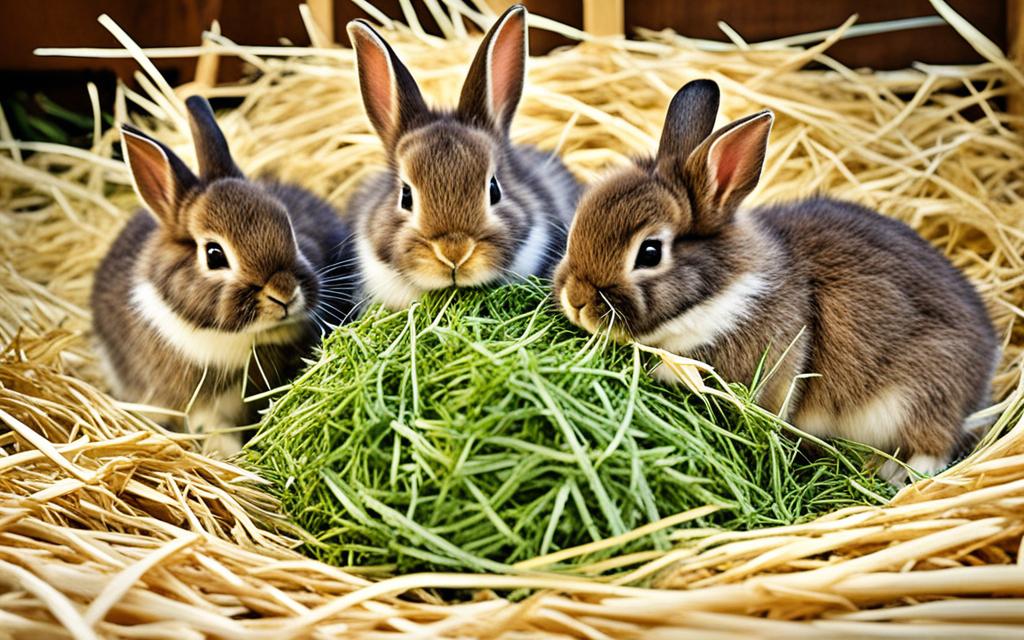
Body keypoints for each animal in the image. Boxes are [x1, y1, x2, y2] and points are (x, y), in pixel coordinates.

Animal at [557, 78, 995, 479]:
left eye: (649, 253)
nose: (576, 301)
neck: (720, 290)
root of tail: (988, 362)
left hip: (915, 396)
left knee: (934, 444)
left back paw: (893, 472)